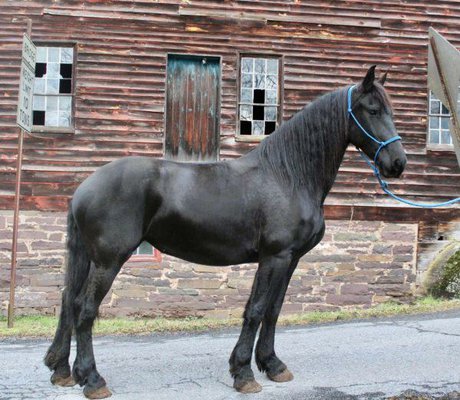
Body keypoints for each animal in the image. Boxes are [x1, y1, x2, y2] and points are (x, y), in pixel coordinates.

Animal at [44, 66, 407, 399]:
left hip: (86, 257)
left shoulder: (290, 260)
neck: (288, 175)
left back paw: (62, 371)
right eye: (373, 110)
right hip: (109, 260)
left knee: (68, 301)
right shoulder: (274, 257)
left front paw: (272, 365)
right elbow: (256, 309)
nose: (398, 163)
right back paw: (92, 379)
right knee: (85, 309)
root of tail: (84, 188)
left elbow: (274, 310)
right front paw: (244, 372)